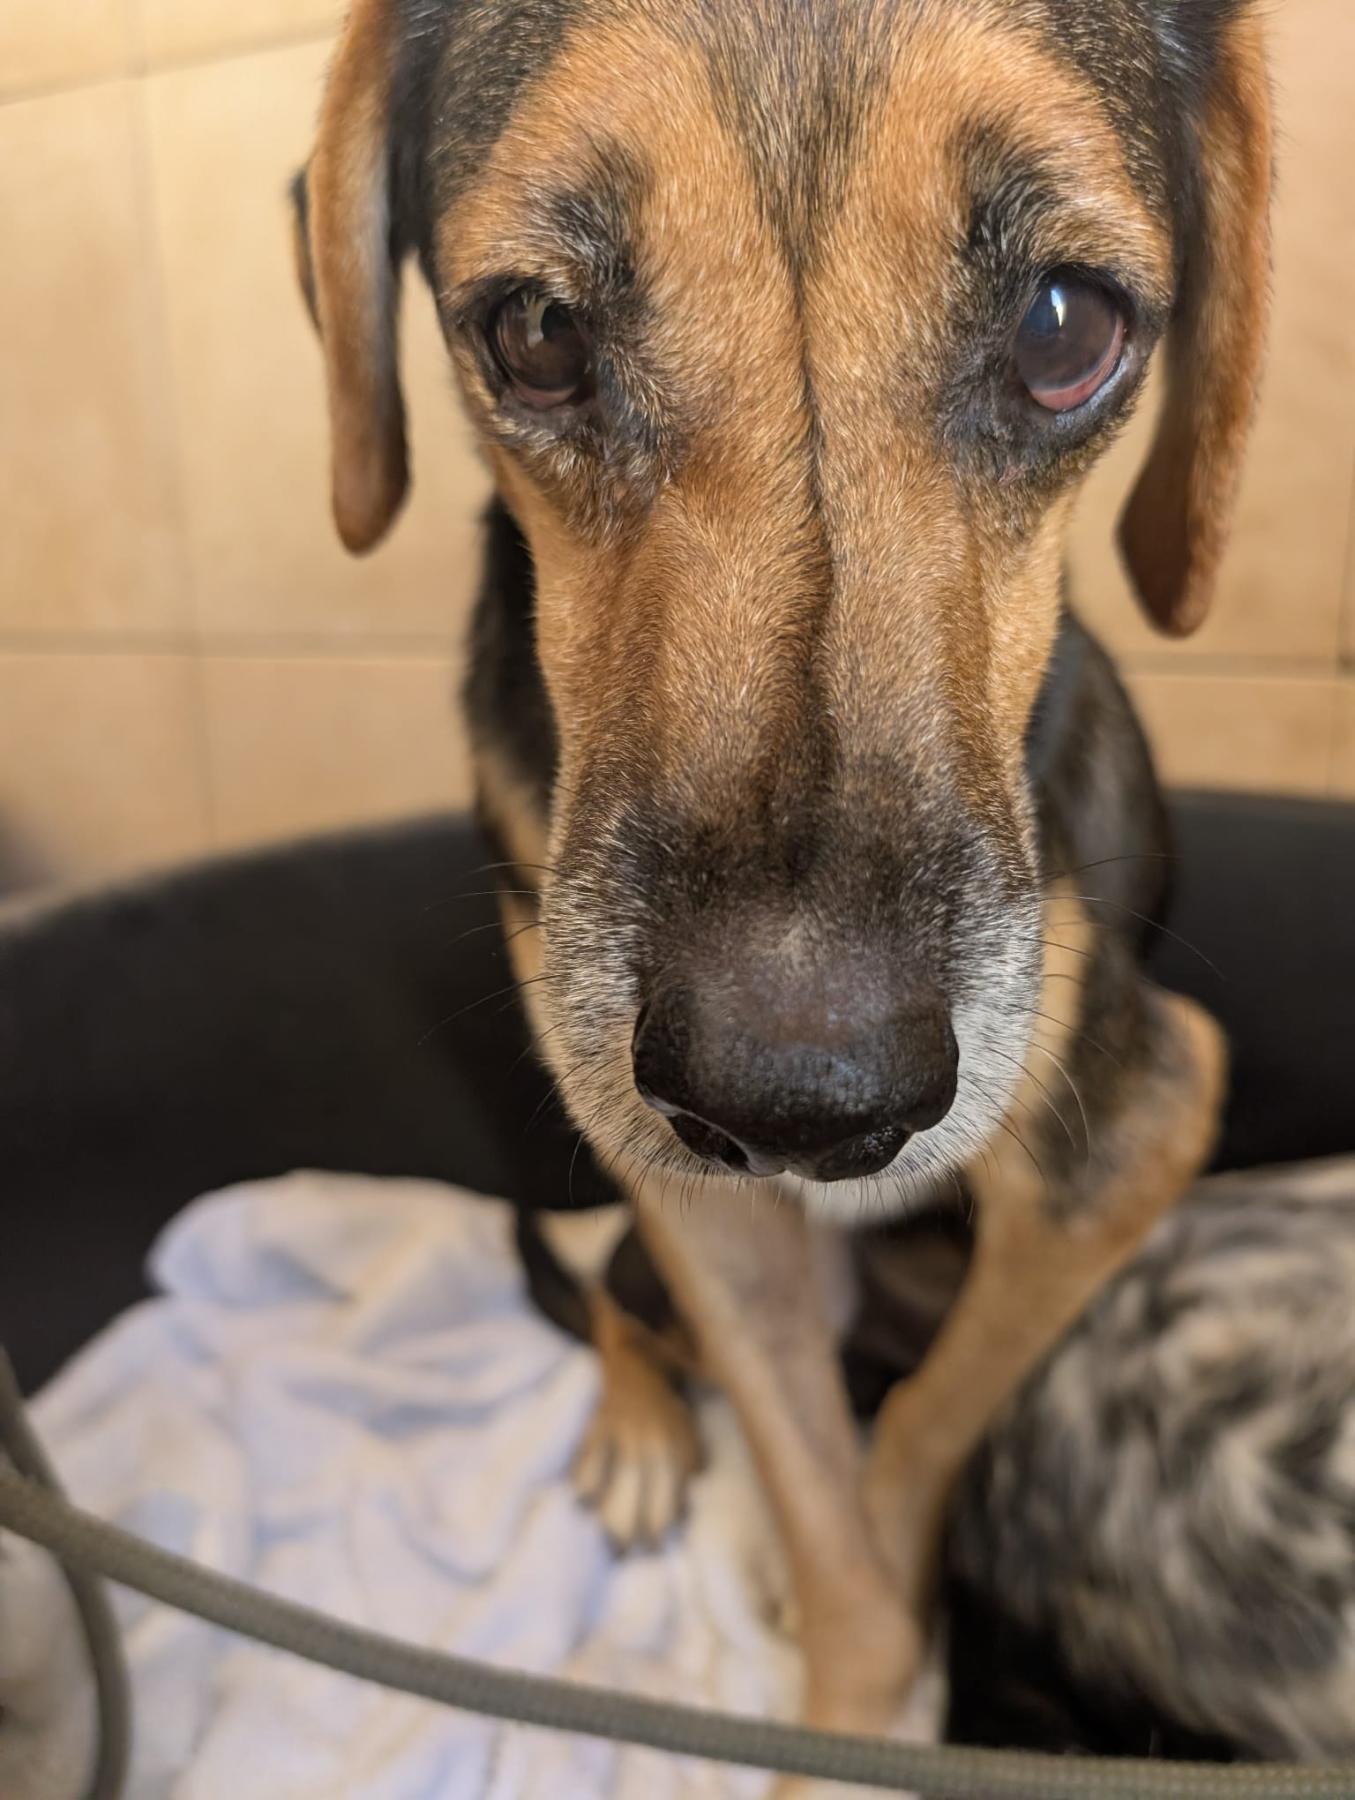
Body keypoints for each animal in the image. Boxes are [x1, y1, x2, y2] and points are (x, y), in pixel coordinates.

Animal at [292, 0, 1269, 1756]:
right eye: (533, 330)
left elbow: (913, 1438)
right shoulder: (693, 1198)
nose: (795, 1099)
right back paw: (637, 1432)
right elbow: (818, 1504)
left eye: (1062, 326)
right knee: (622, 1306)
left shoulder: (1132, 1125)